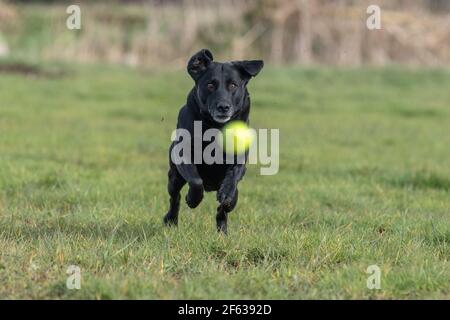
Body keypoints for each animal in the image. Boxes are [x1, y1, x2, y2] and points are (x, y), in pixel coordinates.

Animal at [163, 48, 264, 234]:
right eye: (210, 85)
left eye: (233, 85)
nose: (223, 107)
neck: (216, 127)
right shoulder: (183, 154)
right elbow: (195, 181)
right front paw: (192, 199)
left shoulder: (239, 159)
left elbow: (233, 176)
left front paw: (226, 195)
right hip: (174, 177)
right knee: (175, 197)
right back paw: (171, 219)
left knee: (224, 209)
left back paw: (222, 230)